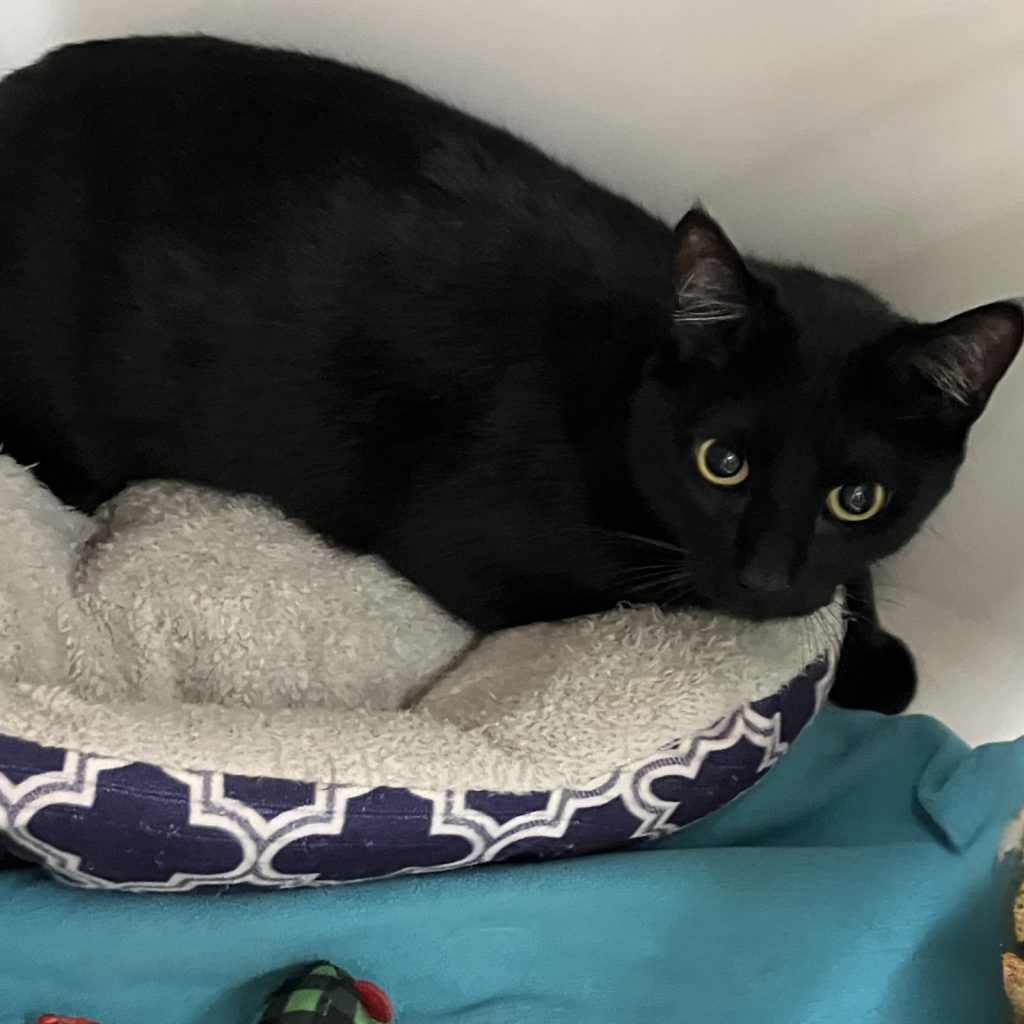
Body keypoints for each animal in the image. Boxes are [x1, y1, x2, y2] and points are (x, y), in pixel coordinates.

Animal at [0, 35, 1019, 715]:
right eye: (721, 465)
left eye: (859, 496)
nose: (766, 574)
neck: (620, 382)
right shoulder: (496, 559)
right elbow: (673, 587)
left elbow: (850, 573)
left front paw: (869, 633)